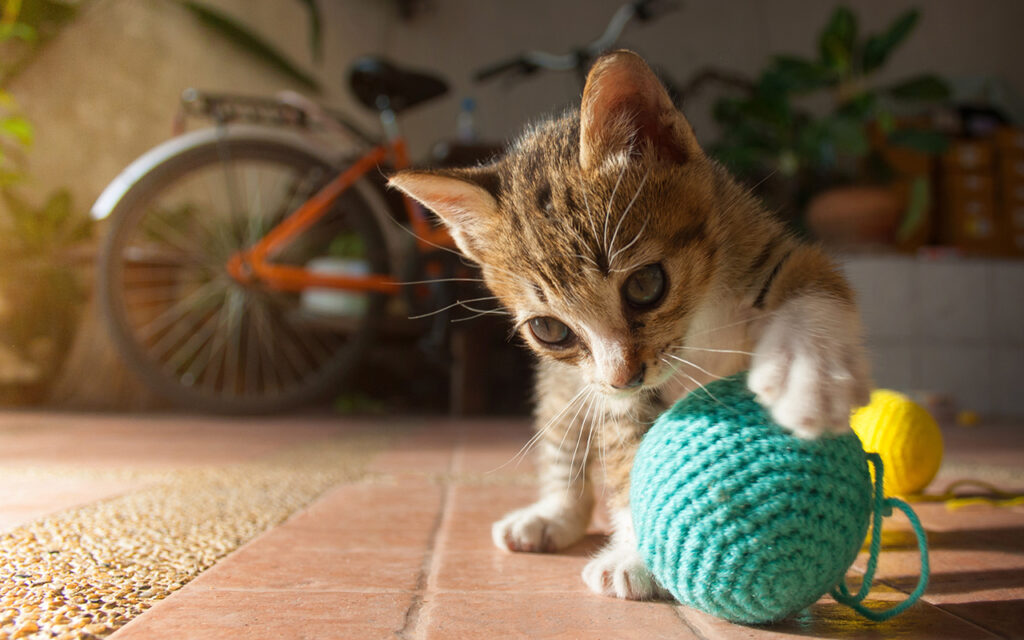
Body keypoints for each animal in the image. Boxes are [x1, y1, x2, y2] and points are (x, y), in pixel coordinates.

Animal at [387, 49, 868, 598]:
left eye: (645, 284)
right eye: (549, 330)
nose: (623, 377)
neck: (698, 322)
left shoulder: (768, 247)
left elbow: (813, 285)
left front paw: (808, 379)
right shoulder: (610, 392)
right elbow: (627, 453)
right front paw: (640, 553)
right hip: (568, 387)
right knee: (563, 440)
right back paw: (550, 516)